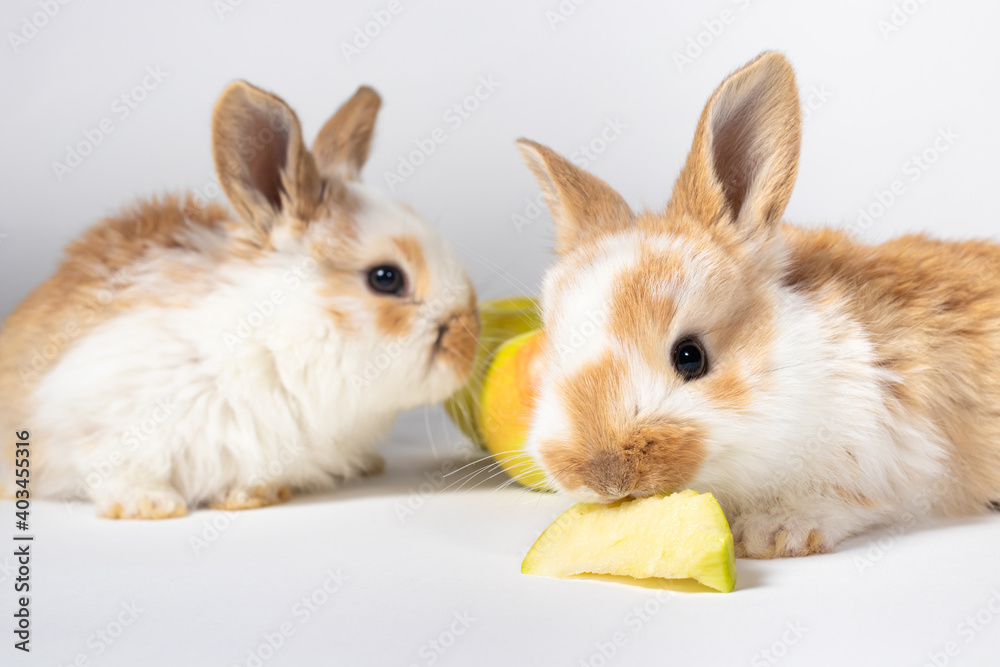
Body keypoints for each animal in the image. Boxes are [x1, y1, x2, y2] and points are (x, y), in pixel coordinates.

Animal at [0, 81, 479, 519]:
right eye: (385, 278)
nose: (470, 343)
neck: (273, 340)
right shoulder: (93, 414)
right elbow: (114, 467)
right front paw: (150, 507)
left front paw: (249, 497)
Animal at [514, 51, 1000, 558]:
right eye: (554, 356)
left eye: (690, 357)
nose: (604, 477)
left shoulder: (896, 452)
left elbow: (852, 499)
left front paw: (774, 533)